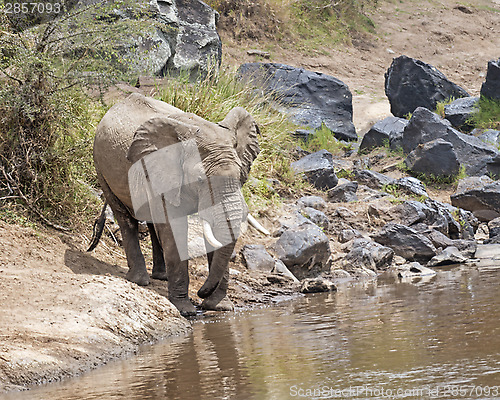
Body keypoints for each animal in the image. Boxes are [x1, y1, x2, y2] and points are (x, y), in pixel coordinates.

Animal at [90, 93, 270, 316]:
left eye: (240, 177)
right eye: (200, 180)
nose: (201, 292)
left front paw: (220, 307)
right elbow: (174, 229)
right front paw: (186, 310)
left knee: (152, 221)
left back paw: (161, 276)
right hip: (101, 166)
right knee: (125, 218)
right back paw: (139, 280)